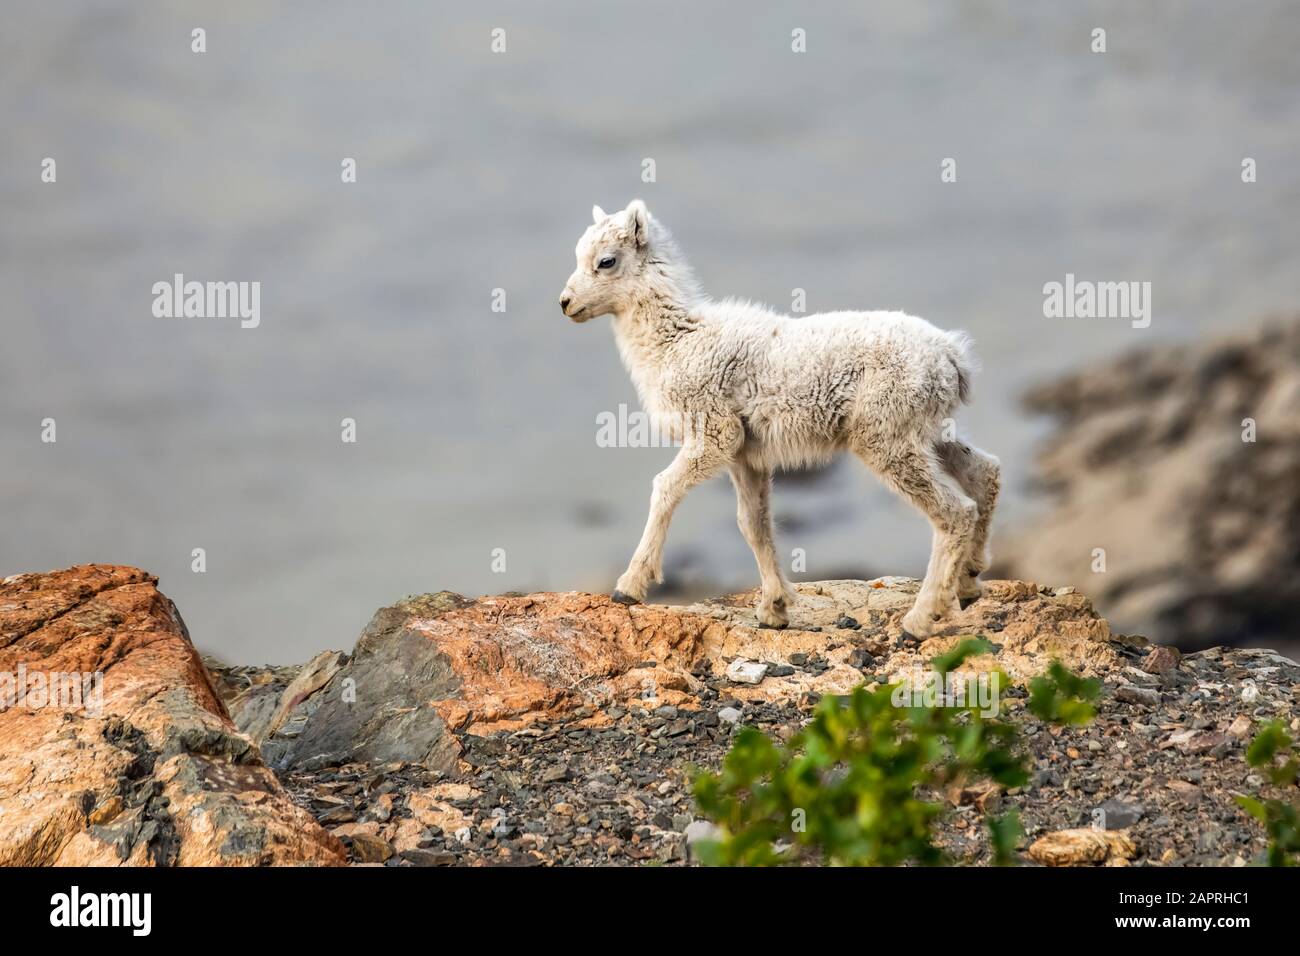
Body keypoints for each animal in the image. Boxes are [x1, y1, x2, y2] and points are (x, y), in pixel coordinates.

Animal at [559, 200, 1001, 638]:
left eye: (606, 261)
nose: (565, 303)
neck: (676, 341)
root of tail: (953, 356)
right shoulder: (745, 456)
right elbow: (753, 523)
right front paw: (774, 610)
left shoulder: (713, 435)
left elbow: (665, 488)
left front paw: (629, 588)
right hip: (928, 432)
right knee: (984, 471)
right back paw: (969, 582)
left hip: (885, 438)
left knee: (954, 512)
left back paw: (920, 619)